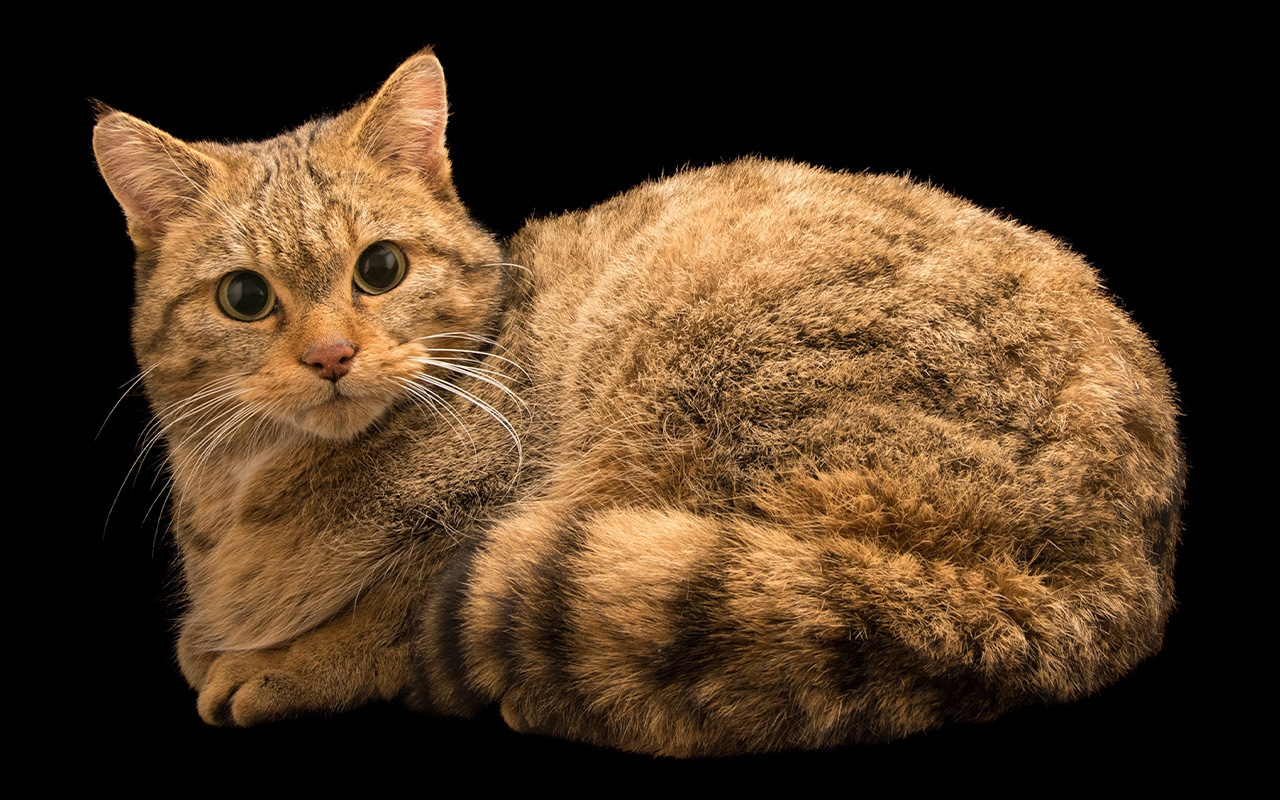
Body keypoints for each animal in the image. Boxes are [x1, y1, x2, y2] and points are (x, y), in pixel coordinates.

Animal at [94, 45, 1182, 752]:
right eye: (244, 297)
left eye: (382, 268)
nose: (329, 355)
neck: (257, 491)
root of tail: (1118, 576)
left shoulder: (489, 520)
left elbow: (398, 609)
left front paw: (285, 660)